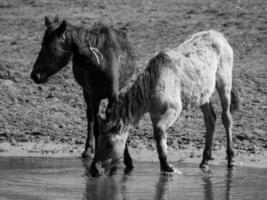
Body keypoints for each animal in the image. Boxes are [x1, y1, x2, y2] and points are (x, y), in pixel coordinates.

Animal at [30, 16, 137, 167]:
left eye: (51, 47)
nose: (35, 75)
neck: (100, 62)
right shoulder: (94, 95)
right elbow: (98, 127)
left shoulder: (113, 95)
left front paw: (127, 159)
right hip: (86, 93)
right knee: (89, 117)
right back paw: (87, 150)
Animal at [91, 30, 240, 177]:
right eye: (98, 141)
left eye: (109, 144)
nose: (94, 169)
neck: (152, 86)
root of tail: (219, 36)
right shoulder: (155, 114)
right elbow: (159, 137)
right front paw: (165, 167)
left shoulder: (174, 109)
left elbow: (159, 132)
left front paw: (169, 167)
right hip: (203, 95)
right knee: (210, 120)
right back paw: (204, 162)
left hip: (224, 83)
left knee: (226, 118)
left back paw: (231, 160)